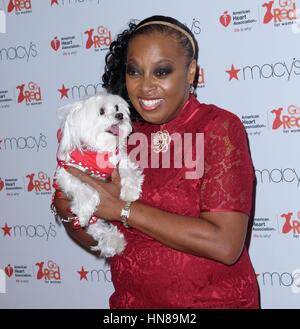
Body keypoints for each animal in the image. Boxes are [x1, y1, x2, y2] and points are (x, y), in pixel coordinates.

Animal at [54, 92, 144, 256]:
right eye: (101, 111)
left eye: (117, 107)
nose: (120, 115)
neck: (100, 151)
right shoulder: (66, 174)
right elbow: (84, 190)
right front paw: (83, 212)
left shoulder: (120, 160)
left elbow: (130, 172)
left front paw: (130, 192)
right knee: (96, 227)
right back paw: (113, 241)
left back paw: (114, 242)